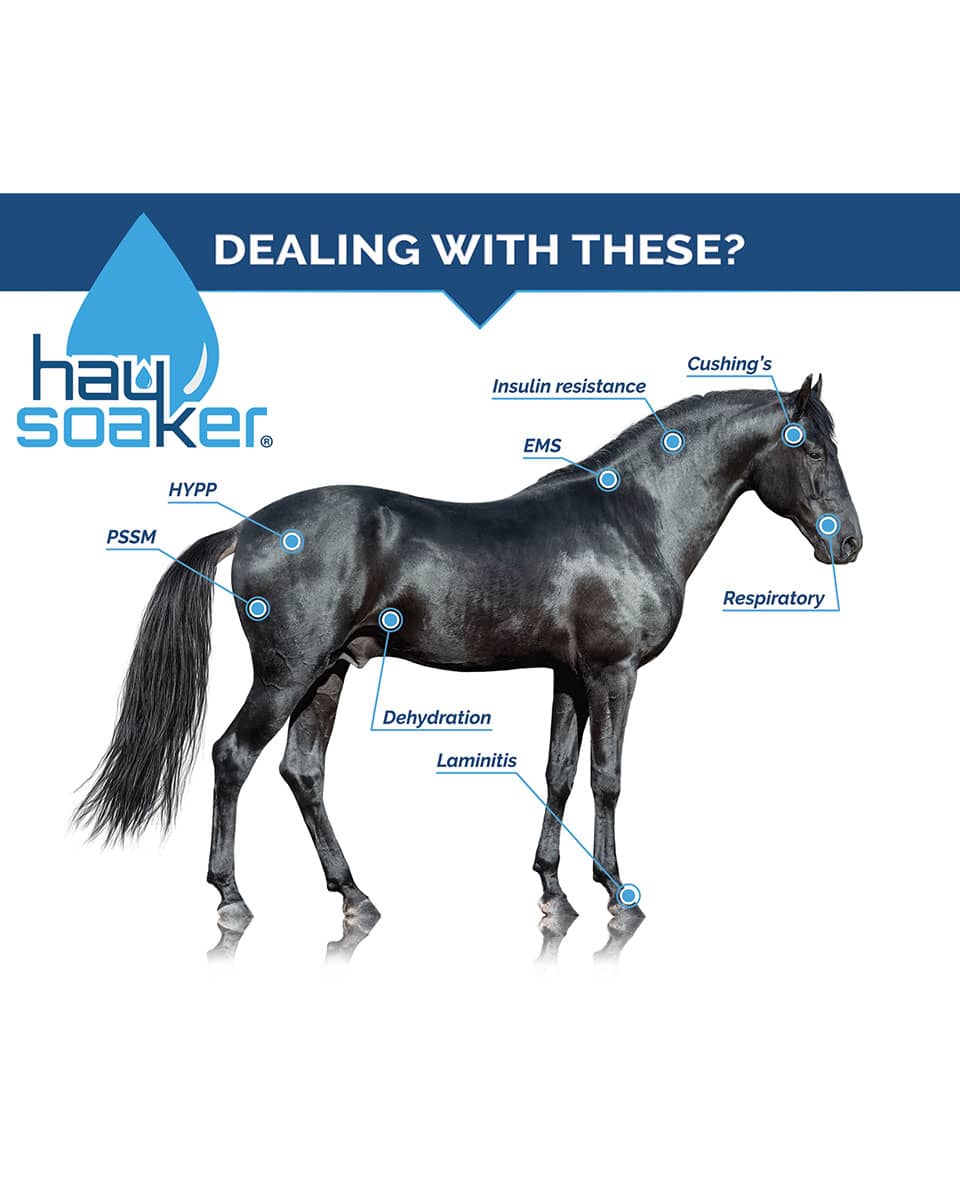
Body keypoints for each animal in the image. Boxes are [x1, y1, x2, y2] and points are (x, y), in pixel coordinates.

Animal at [76, 374, 862, 934]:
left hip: (325, 675)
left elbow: (558, 774)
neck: (630, 517)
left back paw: (354, 894)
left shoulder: (570, 675)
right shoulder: (613, 674)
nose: (849, 542)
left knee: (303, 771)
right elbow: (607, 778)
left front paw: (554, 892)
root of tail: (254, 527)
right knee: (232, 757)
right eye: (812, 447)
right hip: (287, 673)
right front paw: (618, 893)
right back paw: (233, 899)